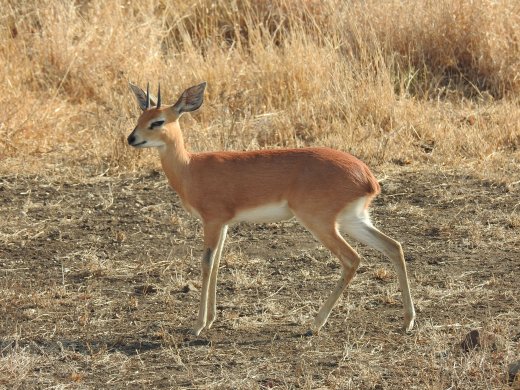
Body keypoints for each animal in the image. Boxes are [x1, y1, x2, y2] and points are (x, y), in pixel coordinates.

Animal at [127, 81, 414, 336]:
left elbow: (206, 264)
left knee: (352, 259)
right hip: (353, 220)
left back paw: (315, 324)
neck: (190, 168)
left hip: (320, 223)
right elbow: (218, 263)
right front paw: (210, 320)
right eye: (140, 116)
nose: (131, 138)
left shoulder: (212, 221)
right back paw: (407, 321)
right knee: (394, 246)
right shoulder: (224, 225)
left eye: (158, 121)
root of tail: (368, 177)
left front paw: (198, 325)